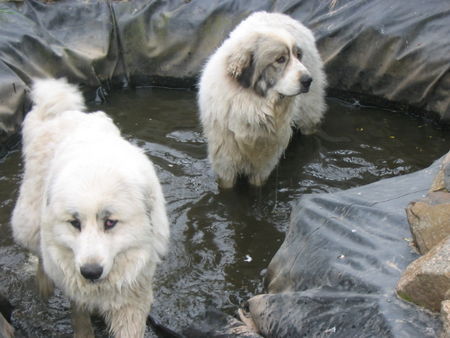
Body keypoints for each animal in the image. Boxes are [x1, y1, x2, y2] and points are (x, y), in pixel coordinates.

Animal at [11, 78, 171, 336]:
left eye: (110, 222)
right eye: (75, 223)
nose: (91, 272)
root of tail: (60, 113)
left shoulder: (133, 292)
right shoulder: (75, 283)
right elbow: (79, 315)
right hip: (29, 222)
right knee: (40, 254)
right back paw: (44, 284)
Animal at [199, 11, 326, 189]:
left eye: (298, 56)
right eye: (280, 59)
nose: (308, 80)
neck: (253, 105)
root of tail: (279, 14)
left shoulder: (263, 165)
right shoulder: (225, 161)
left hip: (309, 113)